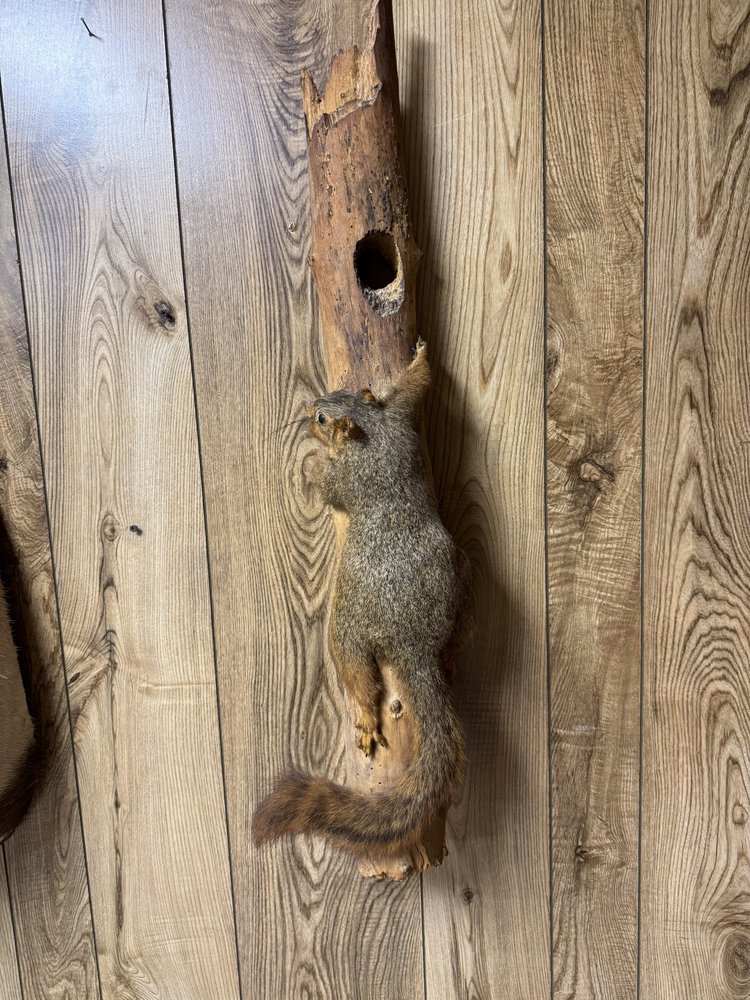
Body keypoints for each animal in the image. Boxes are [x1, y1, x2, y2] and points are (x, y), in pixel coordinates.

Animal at [252, 340, 471, 858]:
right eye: (341, 394)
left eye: (323, 417)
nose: (309, 408)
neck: (373, 432)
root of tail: (414, 643)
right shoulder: (400, 415)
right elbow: (414, 386)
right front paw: (420, 357)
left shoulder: (350, 477)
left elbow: (330, 488)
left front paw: (314, 464)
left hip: (347, 628)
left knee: (357, 673)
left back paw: (369, 717)